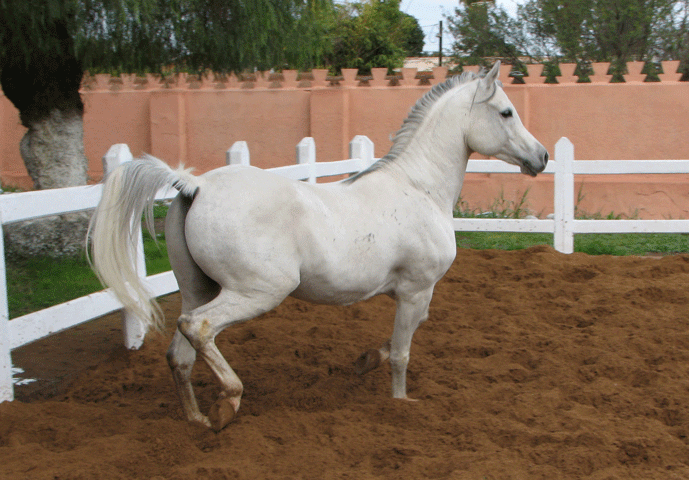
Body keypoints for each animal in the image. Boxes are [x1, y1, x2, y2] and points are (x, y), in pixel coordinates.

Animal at [87, 61, 548, 431]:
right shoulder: (416, 289)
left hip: (196, 288)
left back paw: (198, 418)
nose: (541, 157)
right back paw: (228, 403)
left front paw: (365, 360)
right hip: (257, 292)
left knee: (179, 354)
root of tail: (195, 185)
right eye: (506, 111)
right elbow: (402, 353)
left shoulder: (415, 293)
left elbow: (405, 336)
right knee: (199, 328)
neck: (420, 187)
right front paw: (400, 402)